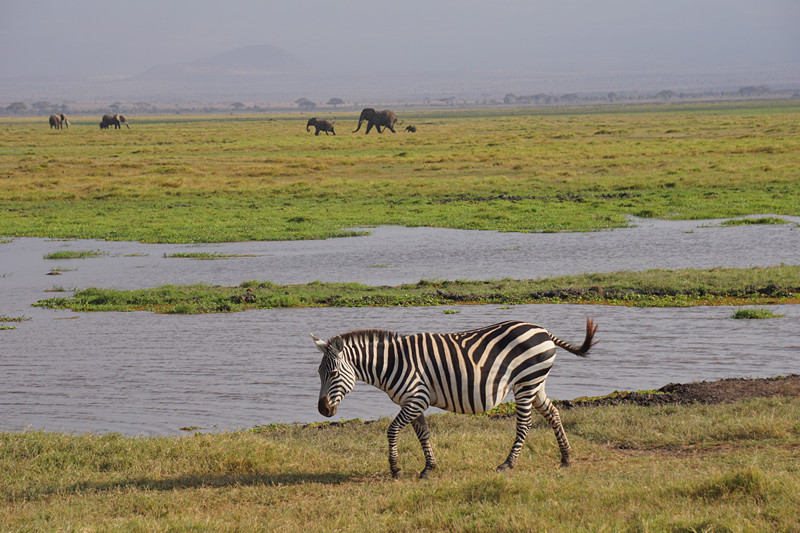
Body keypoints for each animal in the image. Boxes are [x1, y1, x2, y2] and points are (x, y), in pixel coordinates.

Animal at [316, 316, 596, 478]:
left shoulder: (416, 398)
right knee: (553, 413)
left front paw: (395, 469)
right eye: (318, 373)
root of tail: (543, 331)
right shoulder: (414, 401)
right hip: (535, 382)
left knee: (524, 424)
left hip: (526, 383)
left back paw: (508, 464)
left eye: (332, 373)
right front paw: (428, 468)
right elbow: (423, 434)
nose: (322, 410)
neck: (394, 362)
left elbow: (392, 430)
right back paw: (566, 457)